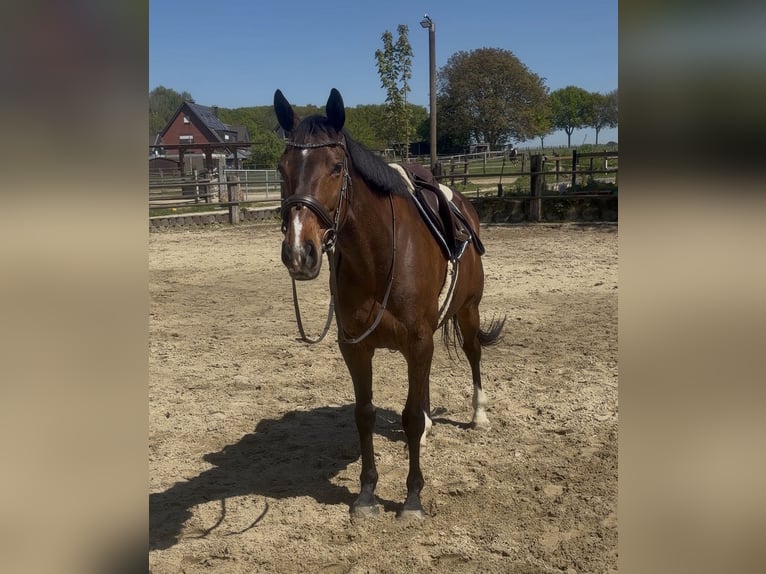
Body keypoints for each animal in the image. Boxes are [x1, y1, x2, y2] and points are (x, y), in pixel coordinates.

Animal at [274, 88, 505, 519]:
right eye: (281, 169)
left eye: (336, 167)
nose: (300, 252)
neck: (378, 258)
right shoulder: (356, 347)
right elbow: (364, 415)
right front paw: (366, 494)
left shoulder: (418, 340)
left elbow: (410, 416)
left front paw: (412, 498)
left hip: (468, 310)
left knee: (473, 352)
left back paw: (478, 414)